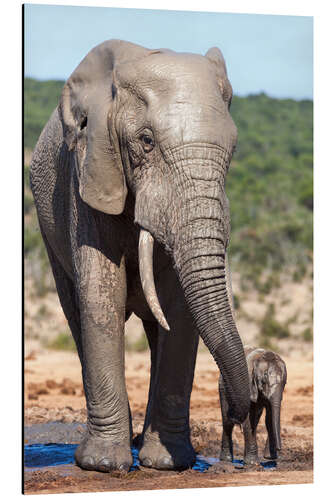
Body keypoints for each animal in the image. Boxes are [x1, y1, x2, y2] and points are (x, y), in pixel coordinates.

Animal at [30, 40, 249, 472]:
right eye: (146, 141)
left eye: (232, 149)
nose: (238, 410)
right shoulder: (88, 173)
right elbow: (101, 296)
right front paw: (103, 465)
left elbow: (178, 307)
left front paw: (166, 463)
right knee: (76, 313)